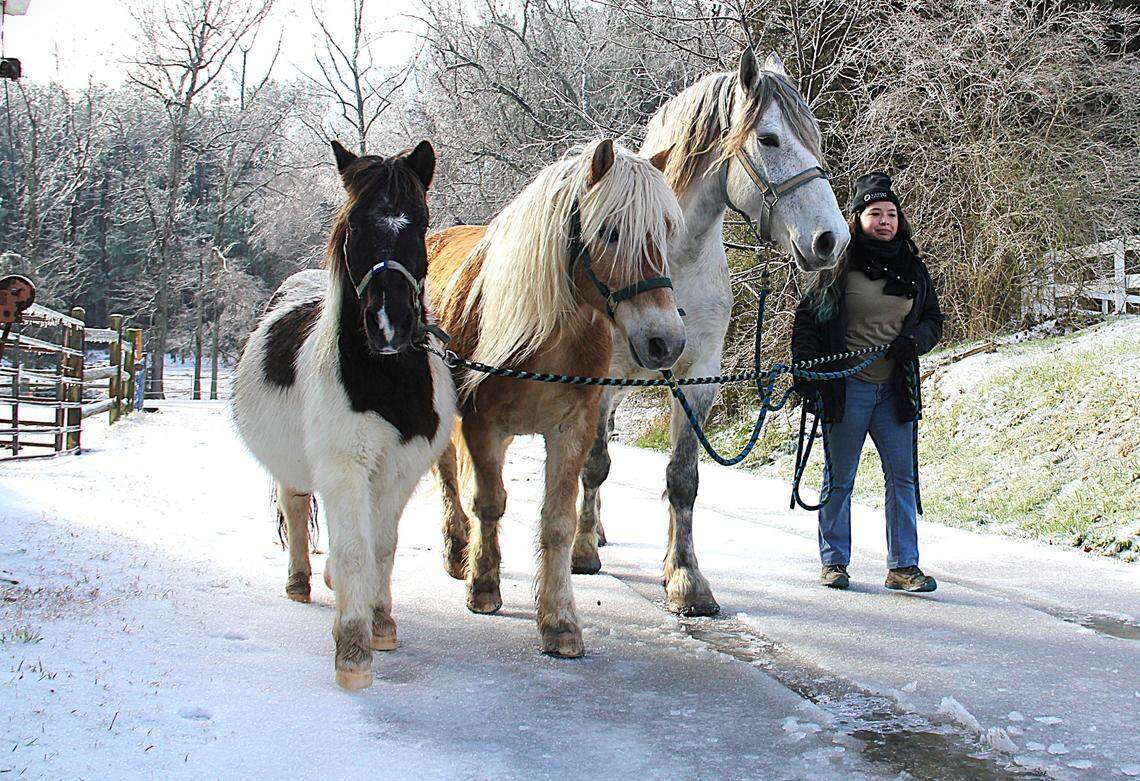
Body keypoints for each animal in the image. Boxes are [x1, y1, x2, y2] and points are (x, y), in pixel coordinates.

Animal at [231, 139, 456, 691]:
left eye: (420, 221)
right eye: (354, 223)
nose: (389, 325)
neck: (384, 380)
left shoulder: (397, 472)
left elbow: (381, 546)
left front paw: (380, 621)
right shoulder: (344, 466)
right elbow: (355, 548)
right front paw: (352, 653)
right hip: (296, 470)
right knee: (295, 507)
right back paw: (299, 581)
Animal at [427, 139, 685, 657]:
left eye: (665, 232)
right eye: (610, 232)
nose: (665, 341)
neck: (546, 337)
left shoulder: (573, 429)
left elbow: (559, 523)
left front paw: (560, 621)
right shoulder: (484, 425)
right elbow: (489, 503)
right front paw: (483, 586)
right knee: (448, 479)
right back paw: (457, 549)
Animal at [571, 50, 848, 616]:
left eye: (814, 138)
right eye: (769, 139)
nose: (832, 239)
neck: (671, 261)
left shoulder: (697, 375)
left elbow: (683, 479)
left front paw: (686, 580)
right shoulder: (603, 378)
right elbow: (594, 463)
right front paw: (582, 551)